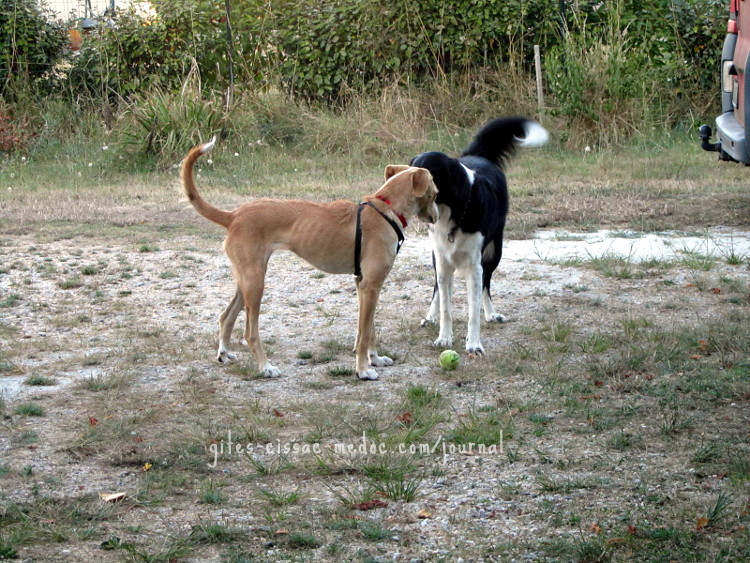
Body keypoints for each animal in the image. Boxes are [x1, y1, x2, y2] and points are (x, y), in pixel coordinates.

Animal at [181, 138, 439, 380]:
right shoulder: (371, 285)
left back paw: (224, 353)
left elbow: (368, 330)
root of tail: (233, 215)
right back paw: (266, 367)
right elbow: (365, 333)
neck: (386, 210)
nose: (436, 217)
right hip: (255, 283)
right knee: (249, 333)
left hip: (245, 280)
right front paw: (363, 370)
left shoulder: (364, 285)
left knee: (226, 317)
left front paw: (374, 359)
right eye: (435, 193)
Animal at [410, 117, 548, 355]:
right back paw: (430, 316)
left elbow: (473, 309)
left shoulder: (474, 265)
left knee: (486, 283)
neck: (454, 212)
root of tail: (478, 155)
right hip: (438, 257)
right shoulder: (443, 261)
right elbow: (446, 306)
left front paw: (473, 343)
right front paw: (444, 338)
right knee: (438, 288)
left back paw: (491, 313)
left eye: (429, 174)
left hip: (494, 252)